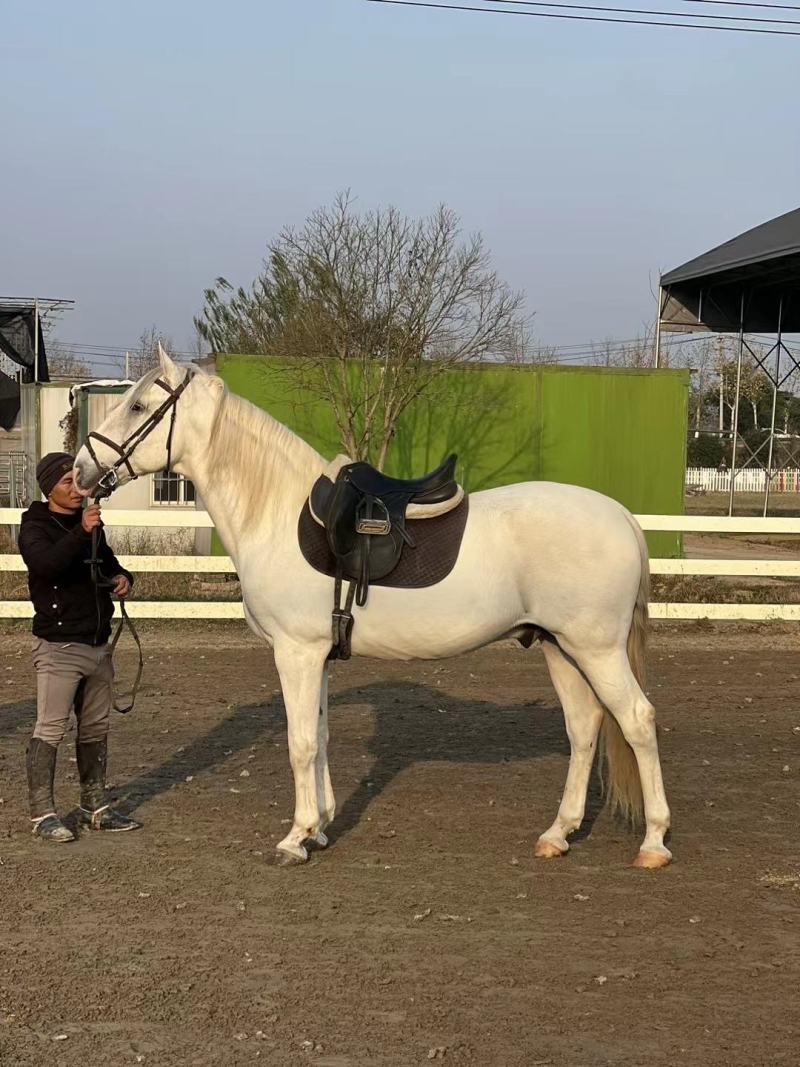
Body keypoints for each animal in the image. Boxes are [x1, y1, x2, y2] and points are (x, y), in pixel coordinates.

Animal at [74, 347, 671, 870]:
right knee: (584, 727)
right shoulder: (316, 655)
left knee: (637, 721)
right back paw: (558, 834)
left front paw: (294, 839)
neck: (273, 510)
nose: (80, 470)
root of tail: (622, 516)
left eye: (138, 406)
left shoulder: (296, 652)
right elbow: (320, 739)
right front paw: (319, 828)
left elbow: (300, 743)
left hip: (596, 650)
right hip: (558, 647)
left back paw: (654, 843)